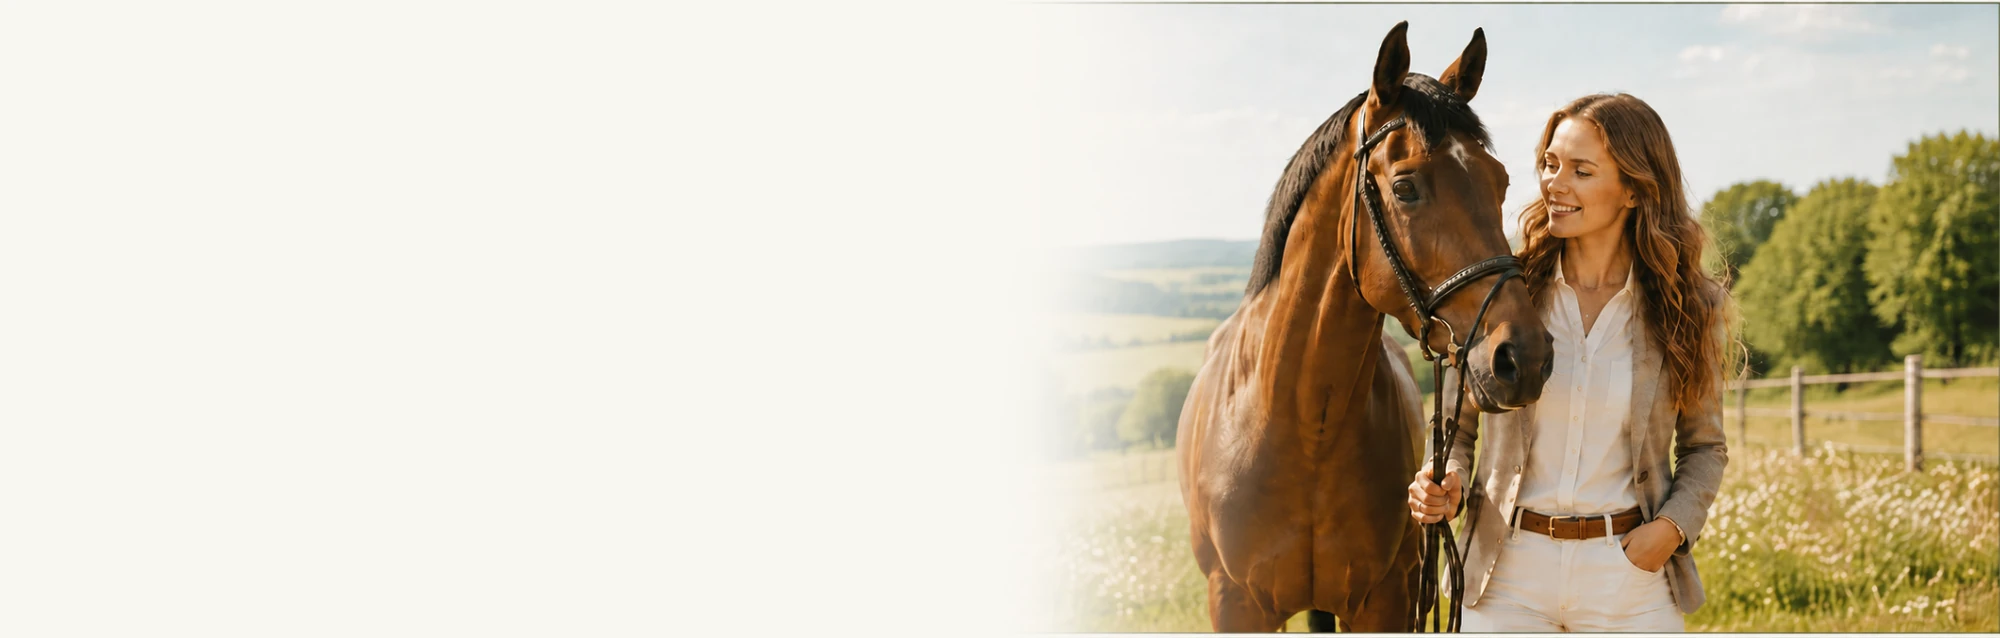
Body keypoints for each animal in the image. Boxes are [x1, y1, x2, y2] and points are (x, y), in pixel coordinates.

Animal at [1175, 23, 1555, 632]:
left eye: (1500, 182)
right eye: (1404, 187)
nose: (1525, 358)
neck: (1304, 427)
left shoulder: (1387, 600)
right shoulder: (1235, 606)